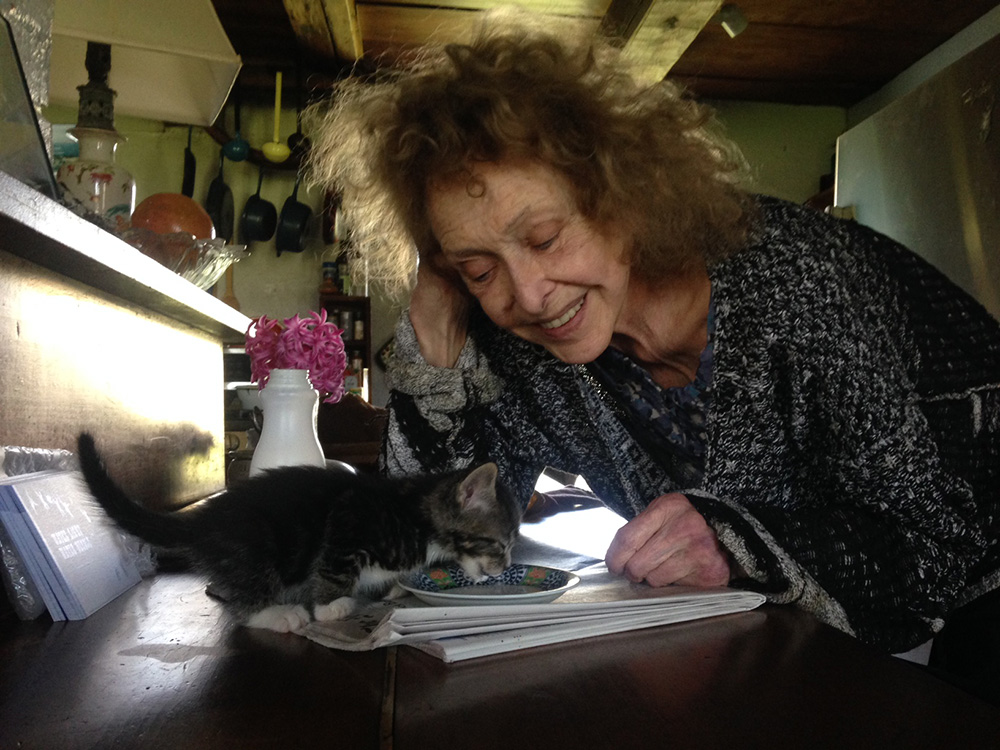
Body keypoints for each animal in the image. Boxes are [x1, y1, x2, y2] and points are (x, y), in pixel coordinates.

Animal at [74, 434, 520, 636]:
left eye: (511, 546)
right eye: (499, 544)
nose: (506, 567)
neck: (417, 515)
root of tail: (209, 516)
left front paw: (394, 589)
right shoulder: (347, 522)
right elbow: (335, 570)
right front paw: (330, 607)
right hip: (257, 548)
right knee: (246, 602)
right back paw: (279, 614)